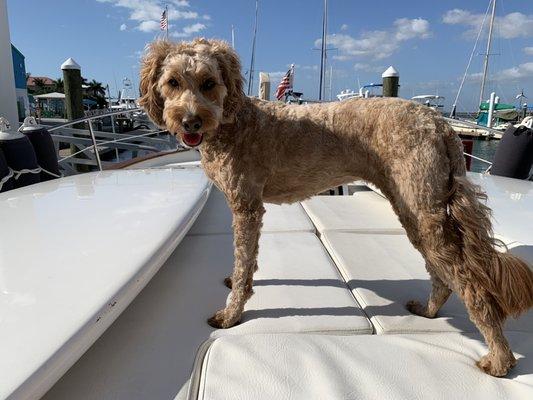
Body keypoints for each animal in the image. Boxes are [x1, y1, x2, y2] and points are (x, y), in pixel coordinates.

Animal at [138, 37, 532, 376]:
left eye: (209, 83)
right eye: (172, 82)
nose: (190, 121)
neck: (230, 122)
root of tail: (440, 124)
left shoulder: (246, 205)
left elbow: (243, 257)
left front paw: (231, 313)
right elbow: (245, 263)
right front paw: (237, 282)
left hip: (423, 204)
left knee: (470, 283)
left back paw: (499, 360)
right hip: (416, 206)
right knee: (443, 274)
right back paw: (429, 311)